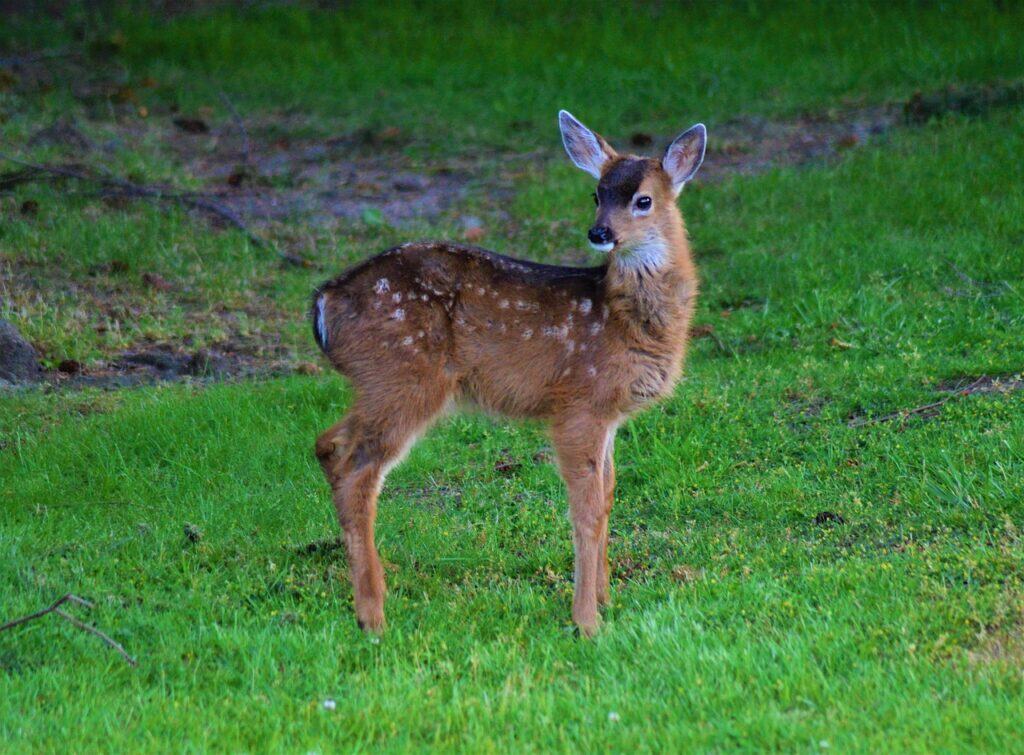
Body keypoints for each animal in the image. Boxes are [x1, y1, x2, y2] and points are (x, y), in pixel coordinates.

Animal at [310, 110, 705, 636]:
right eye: (596, 194)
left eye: (644, 200)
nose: (599, 232)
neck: (622, 319)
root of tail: (323, 302)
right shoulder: (578, 402)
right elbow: (585, 510)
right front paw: (586, 621)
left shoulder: (609, 417)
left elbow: (607, 497)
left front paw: (606, 599)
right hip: (405, 375)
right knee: (357, 468)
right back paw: (373, 615)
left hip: (381, 383)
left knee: (328, 444)